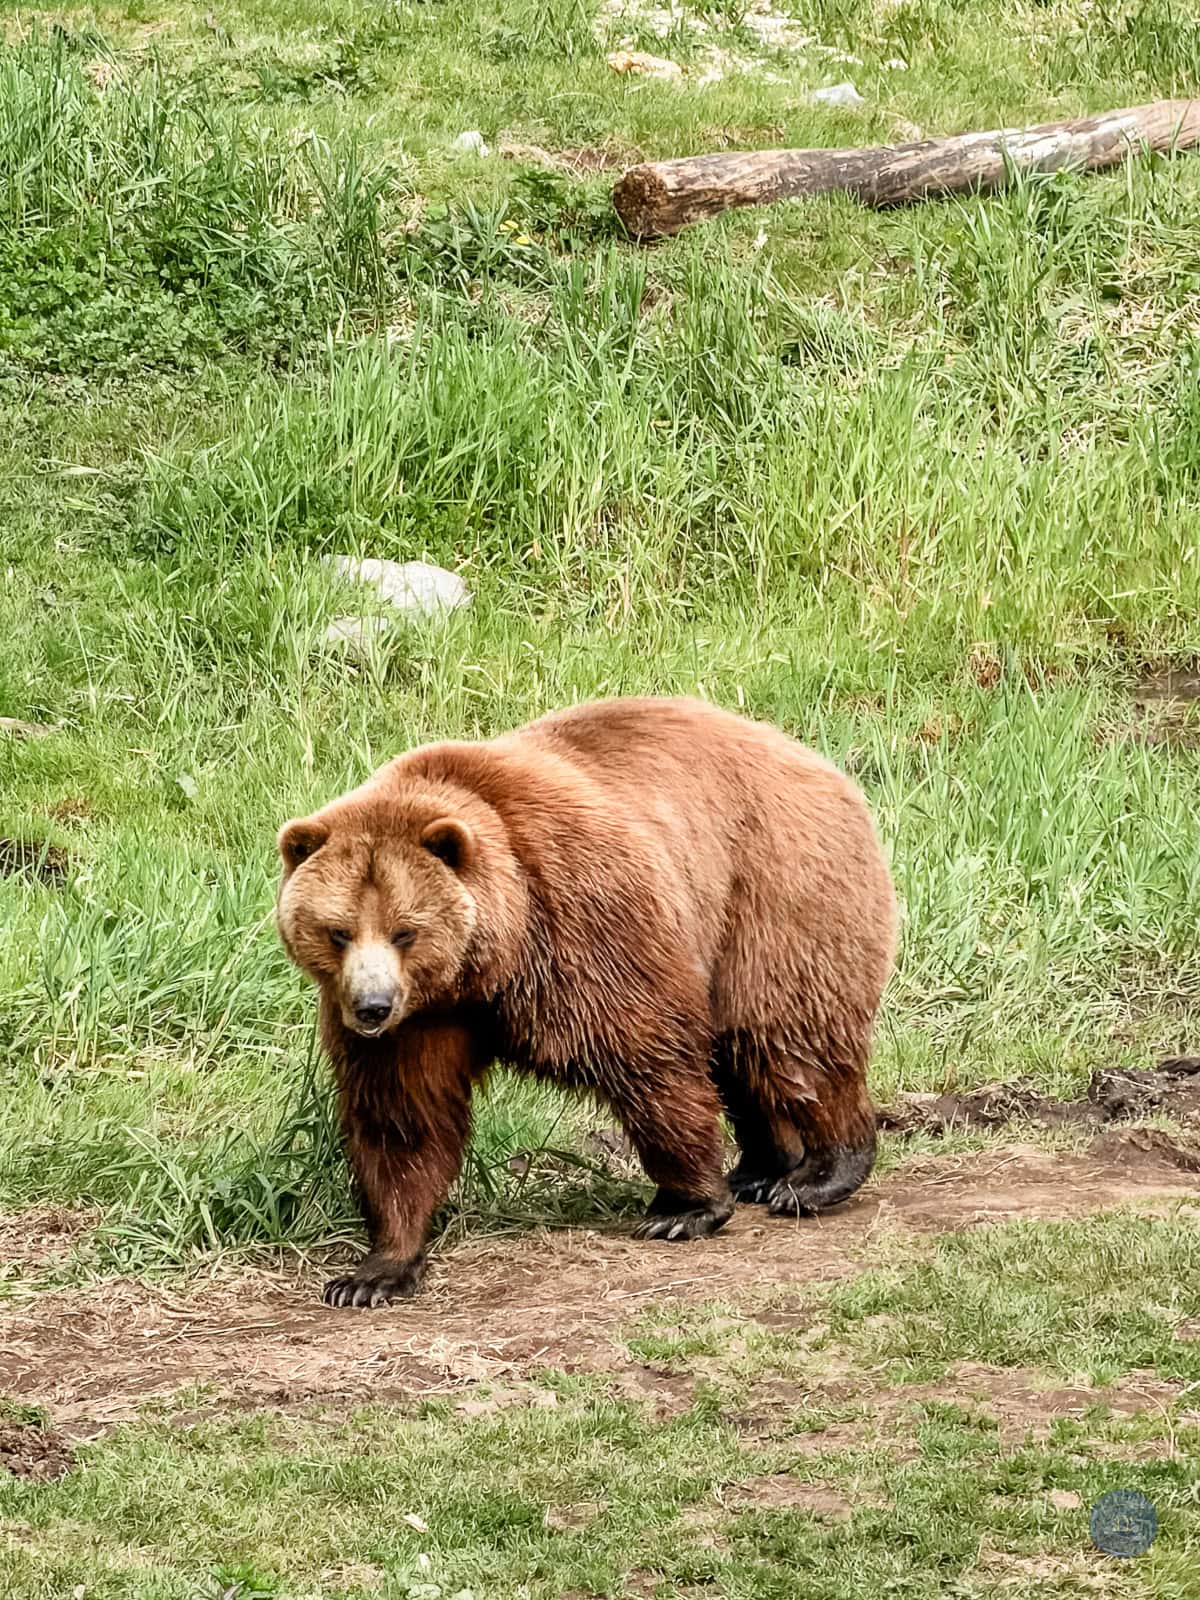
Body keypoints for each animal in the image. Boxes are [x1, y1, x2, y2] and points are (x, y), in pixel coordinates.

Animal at [276, 696, 897, 1308]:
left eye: (405, 930)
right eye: (338, 931)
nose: (372, 1007)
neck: (484, 967)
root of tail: (812, 758)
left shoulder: (575, 917)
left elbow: (646, 1052)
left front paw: (686, 1205)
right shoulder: (419, 1022)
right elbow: (403, 1117)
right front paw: (374, 1271)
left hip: (769, 888)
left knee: (786, 1033)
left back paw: (819, 1175)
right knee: (742, 1054)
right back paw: (761, 1171)